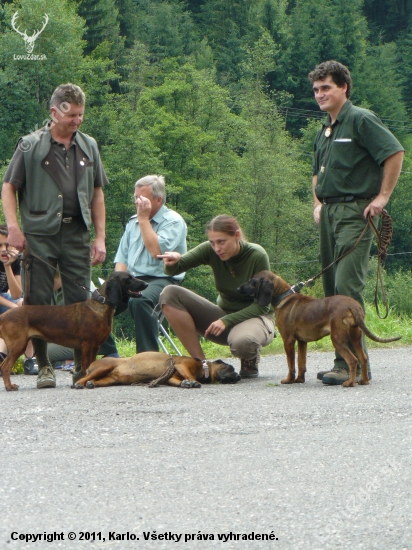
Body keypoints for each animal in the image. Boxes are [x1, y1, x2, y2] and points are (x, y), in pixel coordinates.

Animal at [0, 272, 148, 392]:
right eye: (128, 278)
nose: (146, 283)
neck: (101, 306)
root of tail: (4, 315)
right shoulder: (87, 345)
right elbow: (86, 367)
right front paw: (81, 383)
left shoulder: (96, 346)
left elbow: (92, 366)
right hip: (18, 345)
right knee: (6, 366)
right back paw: (9, 386)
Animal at [237, 272, 400, 388]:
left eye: (252, 281)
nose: (238, 288)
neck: (284, 297)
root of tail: (352, 305)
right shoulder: (302, 342)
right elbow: (301, 363)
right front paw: (299, 380)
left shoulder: (288, 340)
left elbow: (291, 364)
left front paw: (289, 379)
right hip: (356, 337)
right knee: (364, 357)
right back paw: (364, 380)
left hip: (337, 339)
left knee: (353, 360)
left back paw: (349, 383)